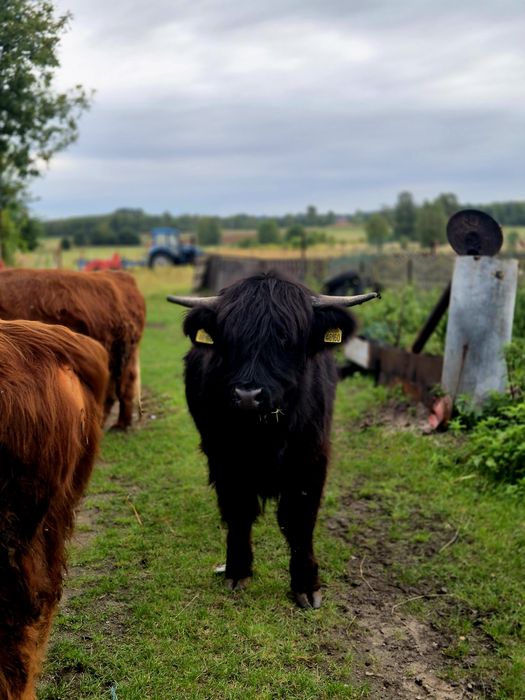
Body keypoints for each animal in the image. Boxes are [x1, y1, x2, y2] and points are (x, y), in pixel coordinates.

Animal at [168, 271, 378, 608]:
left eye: (286, 340)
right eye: (230, 339)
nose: (247, 396)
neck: (265, 434)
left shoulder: (311, 459)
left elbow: (299, 520)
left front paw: (306, 585)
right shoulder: (224, 459)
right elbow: (239, 511)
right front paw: (237, 570)